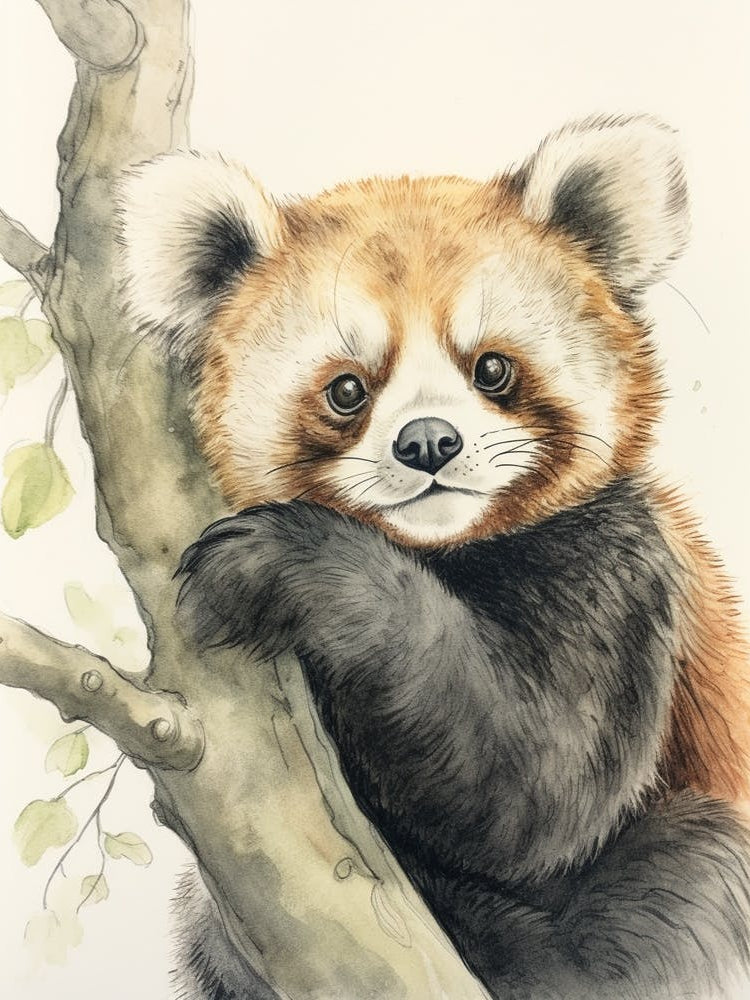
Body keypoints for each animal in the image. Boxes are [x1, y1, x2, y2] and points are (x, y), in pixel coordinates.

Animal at [119, 115, 750, 1000]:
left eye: (492, 368)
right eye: (347, 390)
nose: (428, 443)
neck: (442, 552)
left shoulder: (622, 577)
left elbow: (535, 786)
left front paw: (291, 565)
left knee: (692, 882)